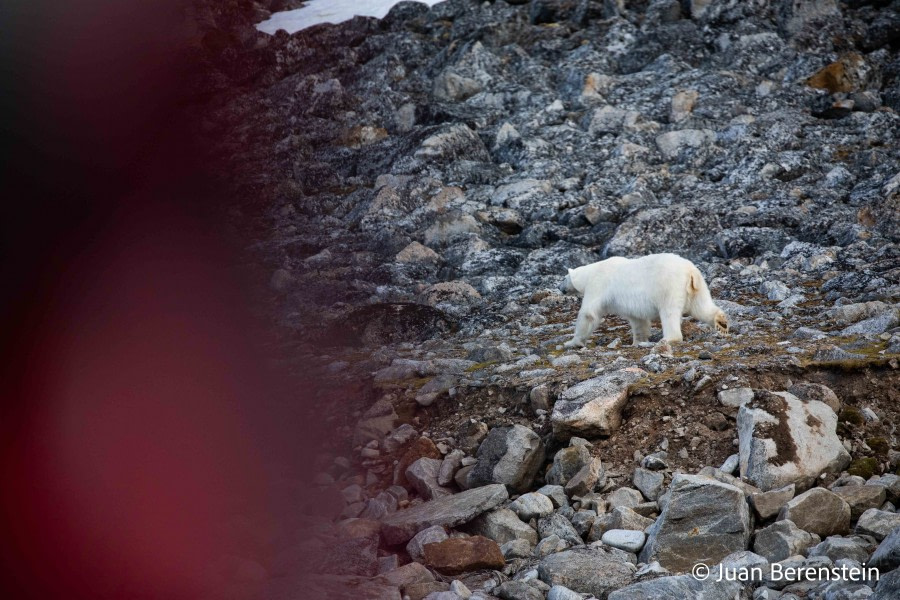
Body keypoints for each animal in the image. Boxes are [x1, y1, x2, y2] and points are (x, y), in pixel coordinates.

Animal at [560, 253, 728, 346]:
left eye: (563, 278)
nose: (559, 288)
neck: (591, 272)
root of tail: (690, 271)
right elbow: (638, 321)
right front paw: (638, 342)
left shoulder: (597, 284)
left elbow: (588, 314)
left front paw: (572, 342)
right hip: (697, 287)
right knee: (701, 306)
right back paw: (721, 323)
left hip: (669, 286)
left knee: (669, 313)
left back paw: (669, 339)